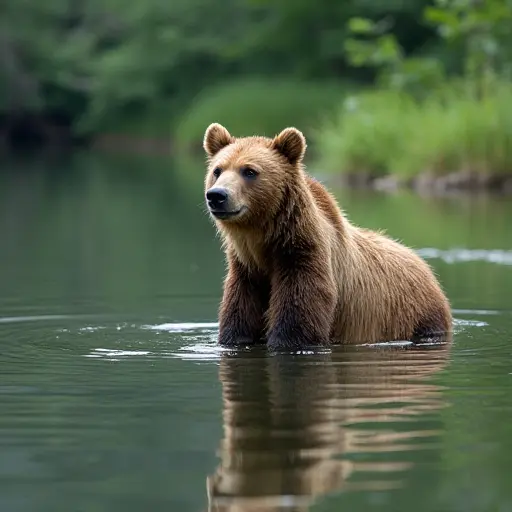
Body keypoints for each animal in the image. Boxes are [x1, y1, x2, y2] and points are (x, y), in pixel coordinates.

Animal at [202, 122, 450, 350]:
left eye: (249, 171)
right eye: (217, 170)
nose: (217, 195)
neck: (263, 245)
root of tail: (424, 265)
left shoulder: (304, 258)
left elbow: (298, 320)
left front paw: (284, 340)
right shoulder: (246, 272)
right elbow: (239, 320)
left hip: (417, 314)